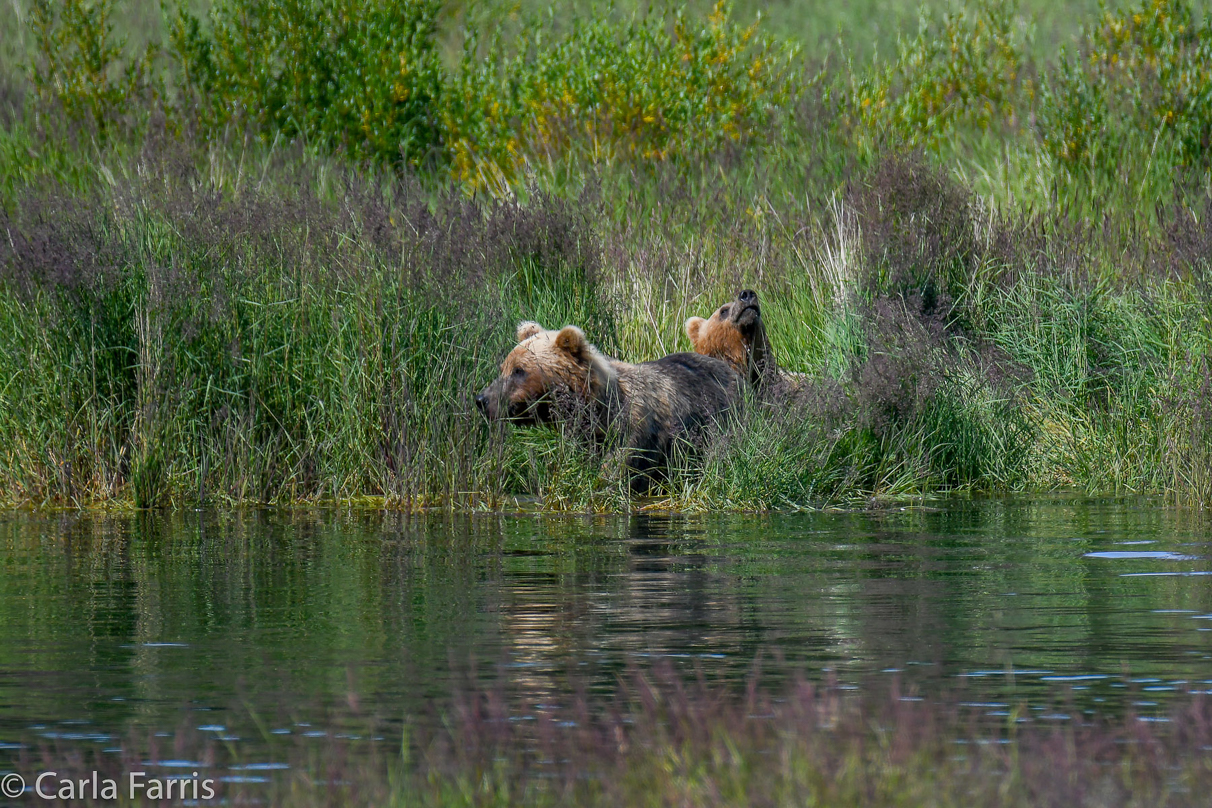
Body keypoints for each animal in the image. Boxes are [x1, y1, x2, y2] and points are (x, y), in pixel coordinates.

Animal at [477, 322, 741, 494]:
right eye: (504, 368)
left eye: (519, 370)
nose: (482, 399)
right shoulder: (584, 440)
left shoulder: (632, 433)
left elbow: (614, 472)